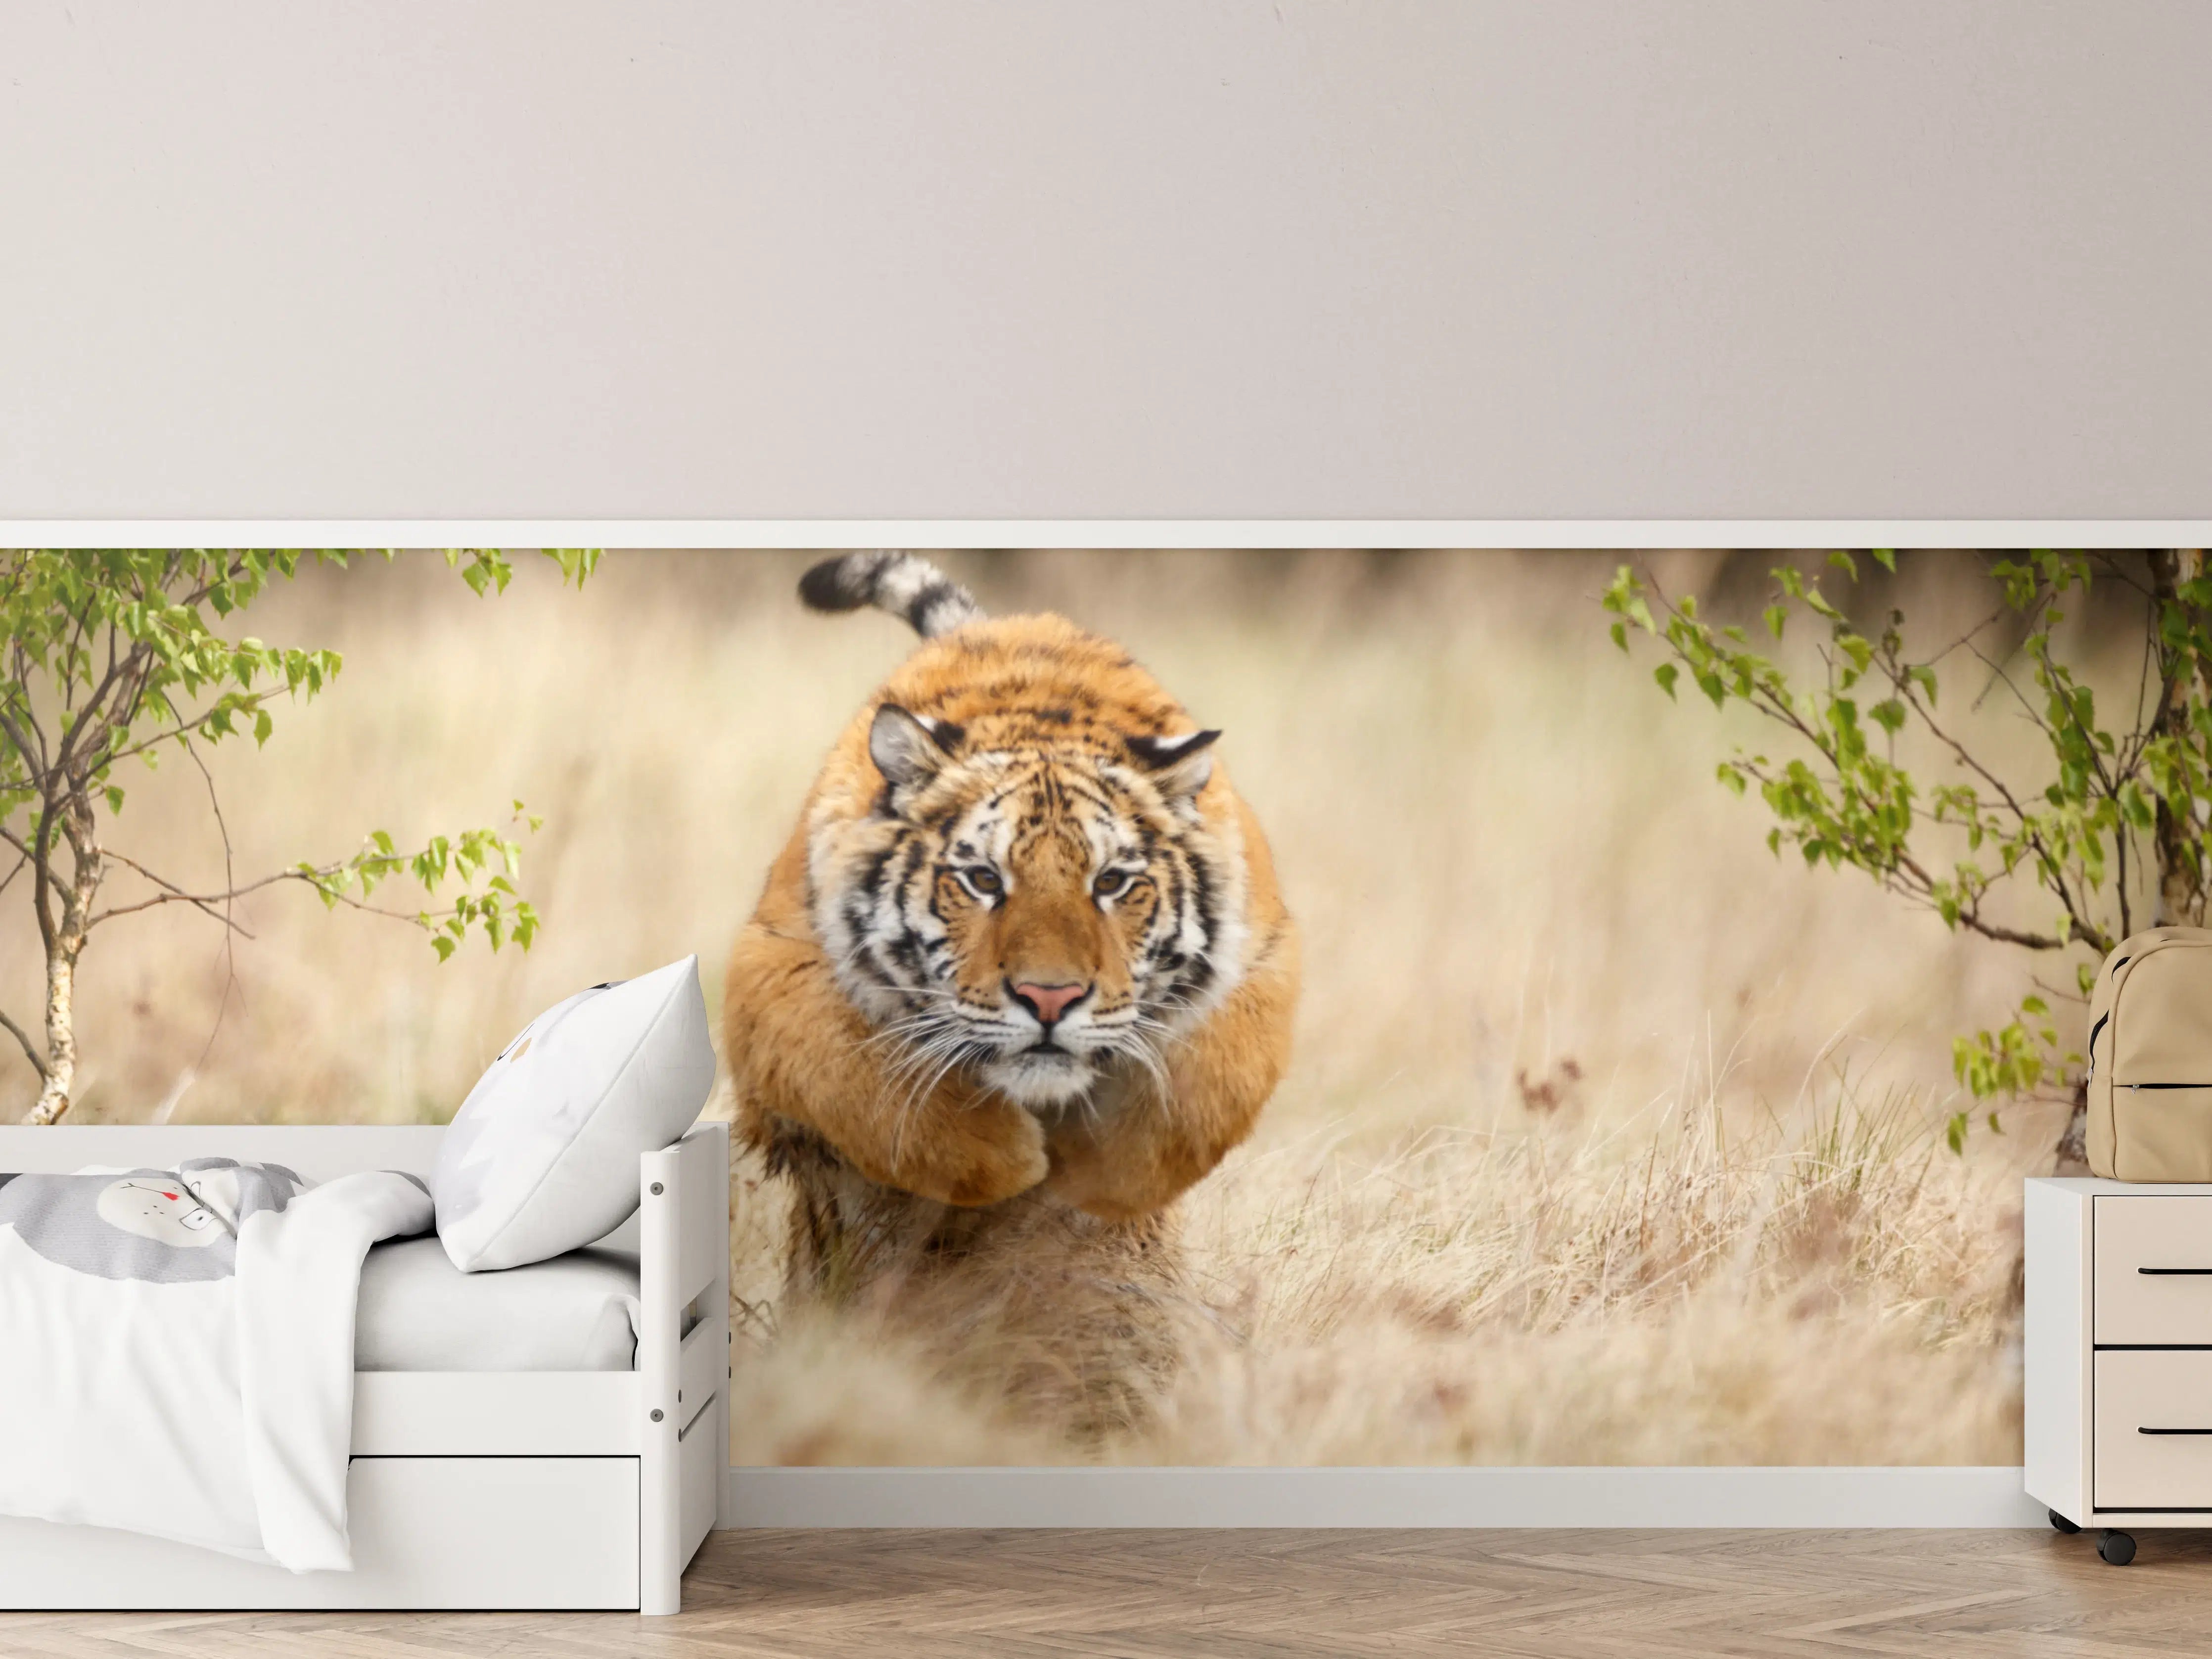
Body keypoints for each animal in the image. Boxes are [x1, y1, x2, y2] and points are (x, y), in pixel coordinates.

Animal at [722, 552, 1300, 1340]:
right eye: (982, 879)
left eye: (1112, 882)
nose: (1048, 999)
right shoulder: (777, 972)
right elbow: (862, 1083)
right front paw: (1011, 1161)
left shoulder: (1261, 962)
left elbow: (1205, 1093)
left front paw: (1098, 1178)